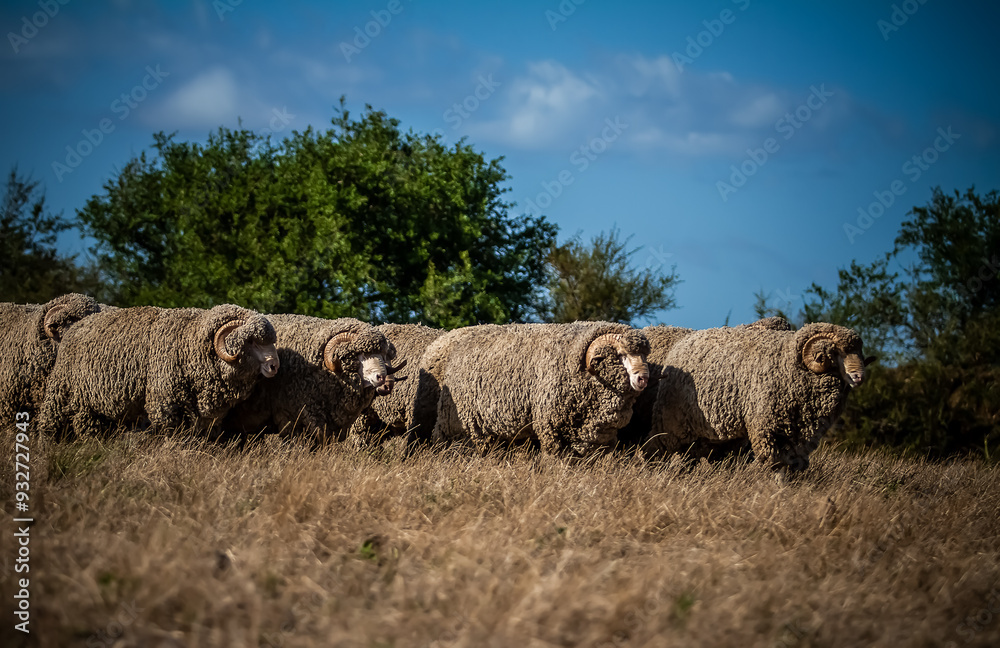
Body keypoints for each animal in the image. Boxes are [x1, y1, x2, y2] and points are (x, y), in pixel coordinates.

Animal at [38, 304, 280, 438]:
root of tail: (74, 327)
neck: (187, 343)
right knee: (49, 424)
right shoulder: (164, 404)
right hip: (60, 391)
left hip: (90, 404)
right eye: (252, 341)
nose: (274, 366)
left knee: (87, 427)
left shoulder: (204, 416)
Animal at [408, 322, 651, 456]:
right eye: (621, 355)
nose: (643, 378)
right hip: (458, 422)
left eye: (644, 355)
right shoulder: (551, 428)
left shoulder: (598, 436)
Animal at [639, 317, 873, 471]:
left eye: (860, 354)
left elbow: (794, 465)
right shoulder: (765, 427)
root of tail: (684, 343)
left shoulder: (799, 436)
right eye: (835, 352)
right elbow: (772, 463)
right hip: (673, 421)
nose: (859, 376)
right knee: (655, 447)